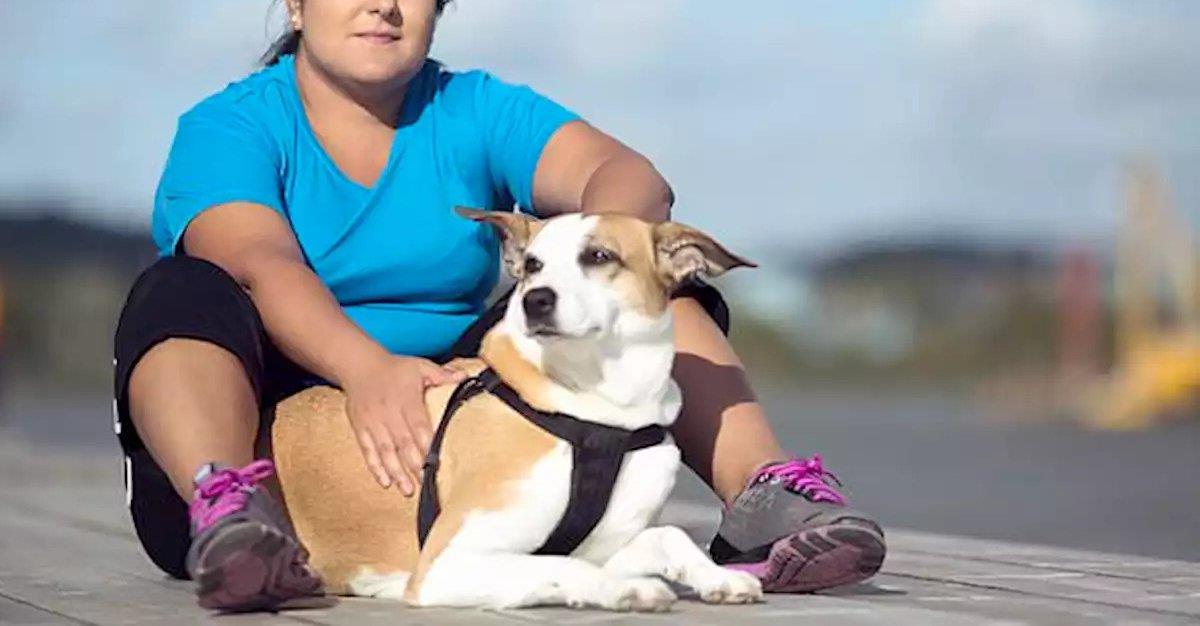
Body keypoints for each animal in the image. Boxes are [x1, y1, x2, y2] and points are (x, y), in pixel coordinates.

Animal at [272, 207, 758, 606]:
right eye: (532, 265)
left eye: (599, 256)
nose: (534, 299)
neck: (603, 411)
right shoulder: (446, 564)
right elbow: (560, 563)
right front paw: (627, 589)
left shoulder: (602, 545)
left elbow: (669, 536)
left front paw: (720, 577)